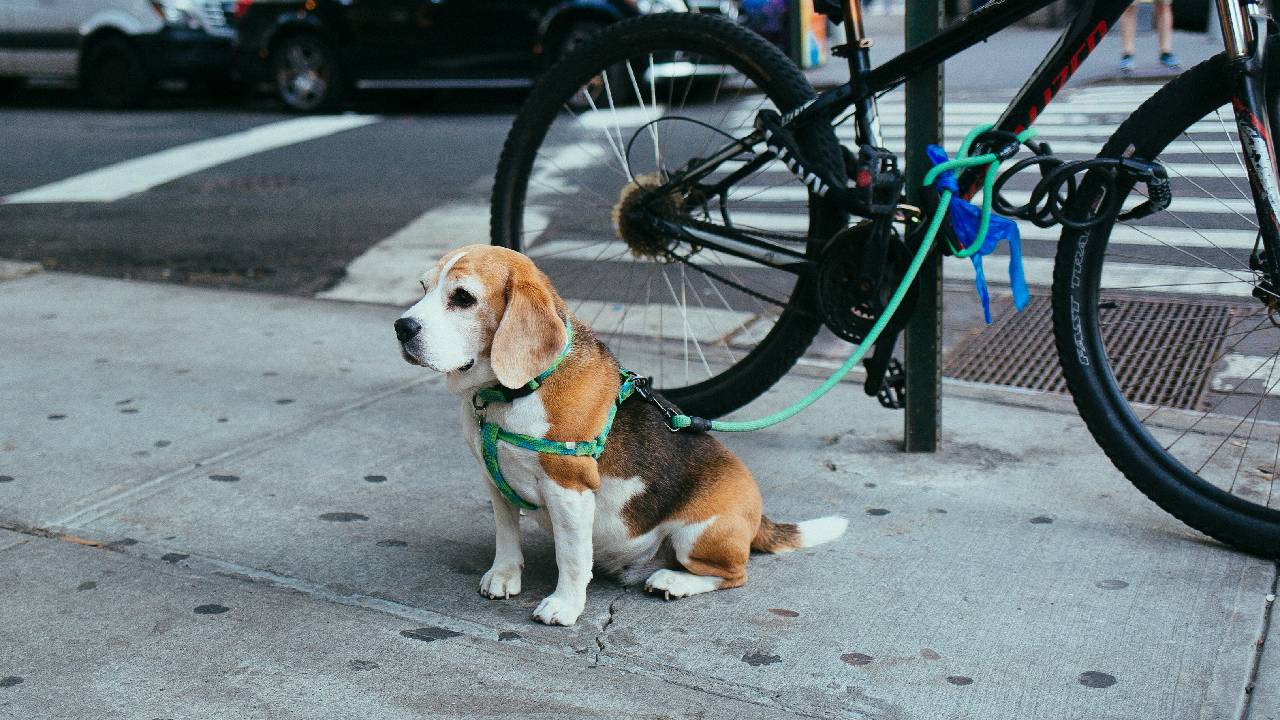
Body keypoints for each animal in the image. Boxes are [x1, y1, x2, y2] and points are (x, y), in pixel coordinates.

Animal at [394, 243, 844, 625]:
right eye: (423, 287)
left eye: (463, 298)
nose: (402, 327)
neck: (510, 394)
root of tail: (758, 514)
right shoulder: (494, 480)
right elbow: (507, 535)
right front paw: (505, 575)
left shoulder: (569, 488)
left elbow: (573, 556)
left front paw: (565, 605)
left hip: (698, 534)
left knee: (735, 574)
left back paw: (673, 581)